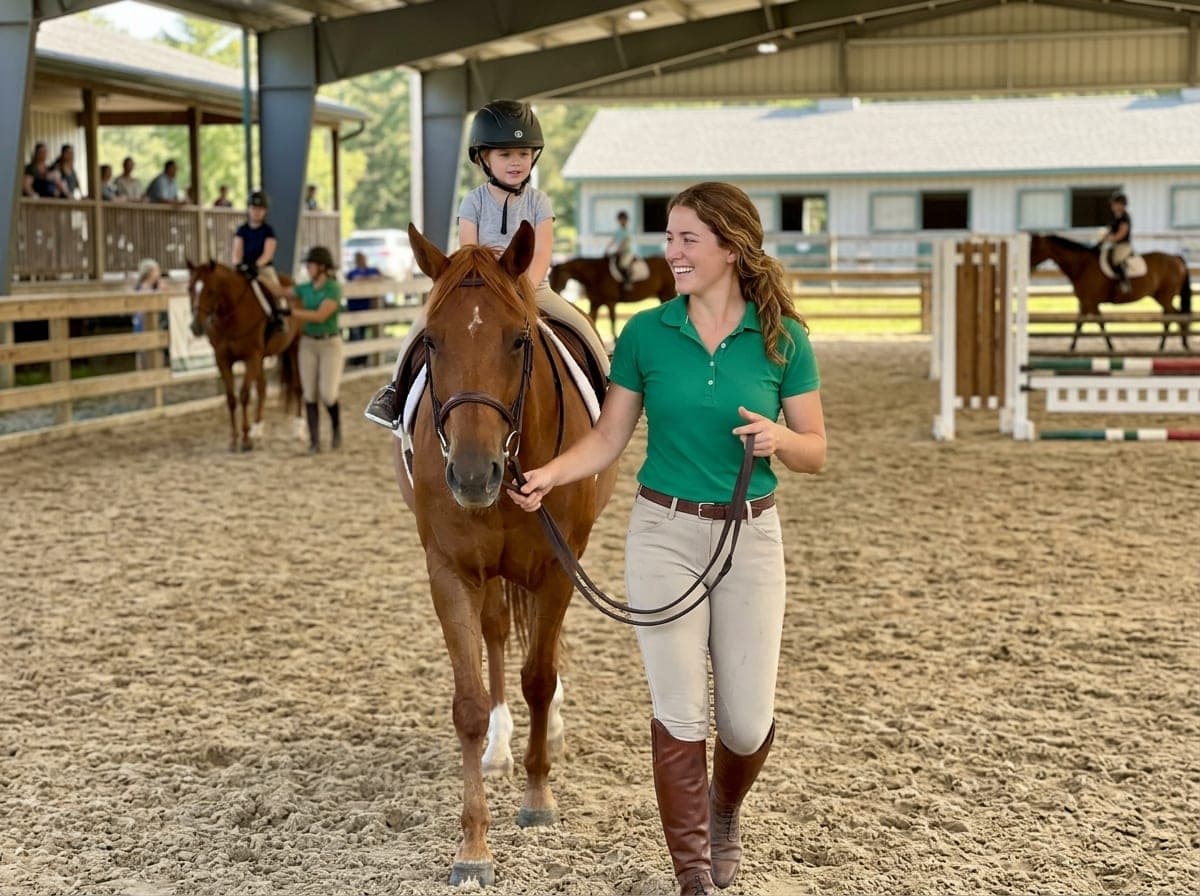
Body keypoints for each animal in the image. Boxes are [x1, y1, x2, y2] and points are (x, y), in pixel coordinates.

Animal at [186, 261, 303, 451]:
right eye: (189, 288)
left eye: (210, 291)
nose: (196, 327)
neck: (232, 315)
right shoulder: (223, 360)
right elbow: (231, 398)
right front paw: (234, 439)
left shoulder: (251, 357)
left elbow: (244, 395)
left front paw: (246, 440)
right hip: (263, 358)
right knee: (262, 388)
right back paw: (258, 428)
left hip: (294, 347)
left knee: (297, 387)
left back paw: (299, 429)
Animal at [393, 221, 618, 887]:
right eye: (432, 341)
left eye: (519, 340)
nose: (472, 475)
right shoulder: (450, 571)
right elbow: (467, 702)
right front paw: (473, 846)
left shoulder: (558, 567)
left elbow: (539, 678)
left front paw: (539, 798)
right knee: (495, 631)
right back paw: (498, 744)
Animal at [1029, 233, 1192, 351]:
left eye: (1035, 249)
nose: (1029, 268)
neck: (1082, 266)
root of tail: (1176, 258)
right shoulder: (1086, 303)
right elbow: (1082, 324)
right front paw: (1072, 347)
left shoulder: (1090, 303)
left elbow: (1096, 324)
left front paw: (1110, 346)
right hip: (1162, 297)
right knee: (1172, 317)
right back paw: (1170, 345)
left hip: (1165, 297)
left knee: (1176, 317)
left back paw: (1175, 345)